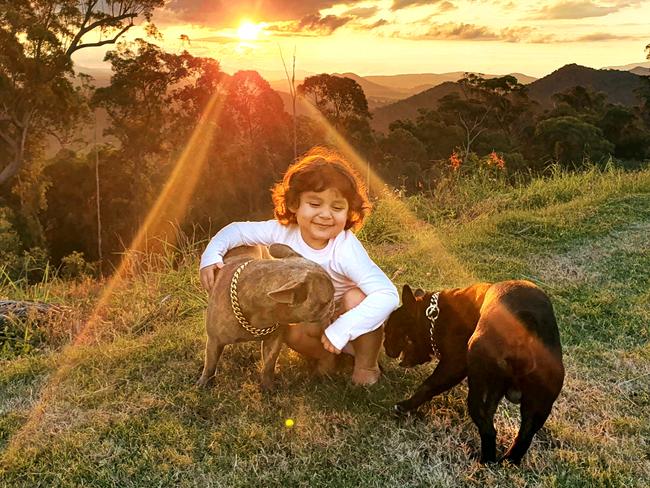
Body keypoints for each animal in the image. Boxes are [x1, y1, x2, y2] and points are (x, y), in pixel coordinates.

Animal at [384, 280, 560, 464]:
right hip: (538, 403)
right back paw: (508, 461)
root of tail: (525, 330)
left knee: (487, 426)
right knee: (524, 435)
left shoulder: (454, 364)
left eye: (389, 330)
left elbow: (429, 385)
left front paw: (406, 406)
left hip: (477, 376)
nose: (384, 344)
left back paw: (486, 461)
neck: (434, 315)